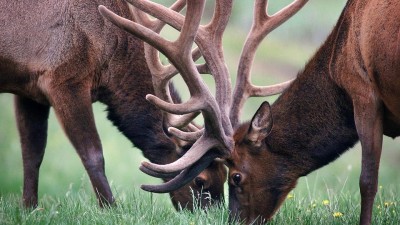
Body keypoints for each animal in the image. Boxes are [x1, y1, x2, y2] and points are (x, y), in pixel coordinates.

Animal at [0, 0, 228, 211]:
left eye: (225, 174)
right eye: (200, 180)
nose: (212, 214)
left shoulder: (29, 89)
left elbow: (32, 153)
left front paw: (29, 208)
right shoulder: (63, 79)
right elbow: (93, 153)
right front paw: (110, 207)